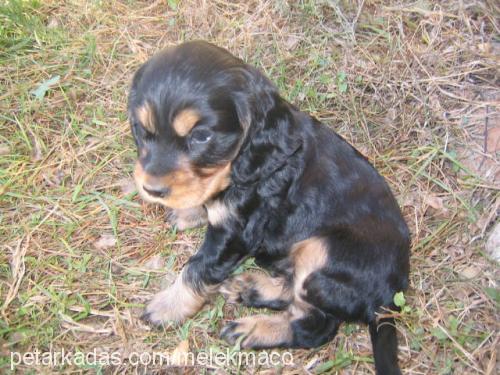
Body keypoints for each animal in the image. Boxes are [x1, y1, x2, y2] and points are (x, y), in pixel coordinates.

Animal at [128, 41, 410, 375]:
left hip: (323, 250)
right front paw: (190, 211)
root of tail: (390, 298)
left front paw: (168, 305)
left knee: (315, 326)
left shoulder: (237, 232)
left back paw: (255, 328)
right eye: (142, 129)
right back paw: (254, 288)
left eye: (201, 136)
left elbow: (198, 267)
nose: (152, 189)